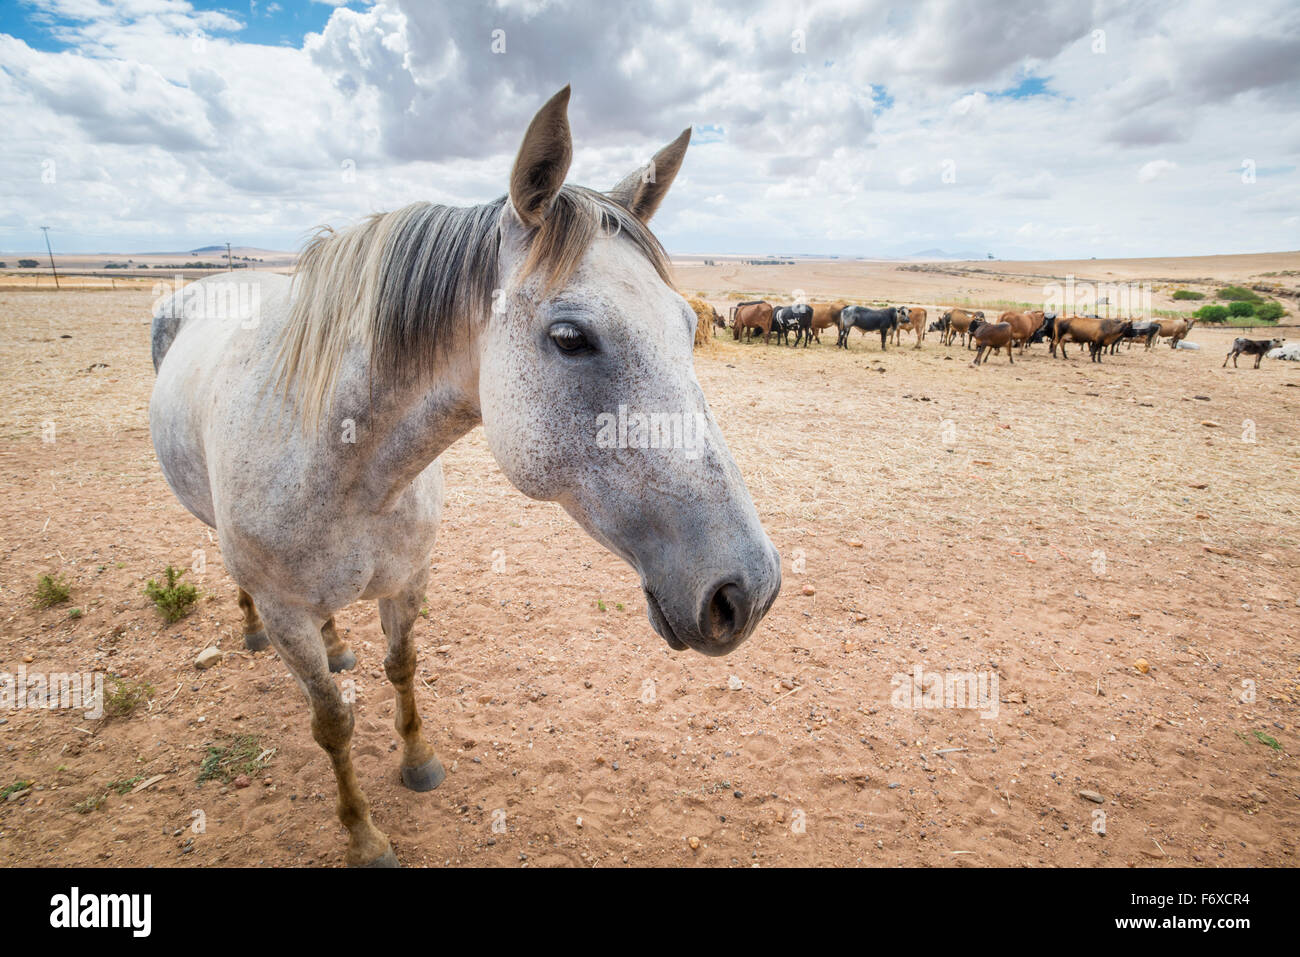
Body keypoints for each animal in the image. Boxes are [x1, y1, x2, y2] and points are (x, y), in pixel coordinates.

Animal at [152, 85, 780, 868]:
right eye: (569, 337)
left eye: (689, 329)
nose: (750, 590)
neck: (345, 470)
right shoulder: (287, 610)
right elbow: (331, 725)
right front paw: (364, 835)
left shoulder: (408, 580)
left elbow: (402, 669)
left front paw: (419, 762)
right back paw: (250, 633)